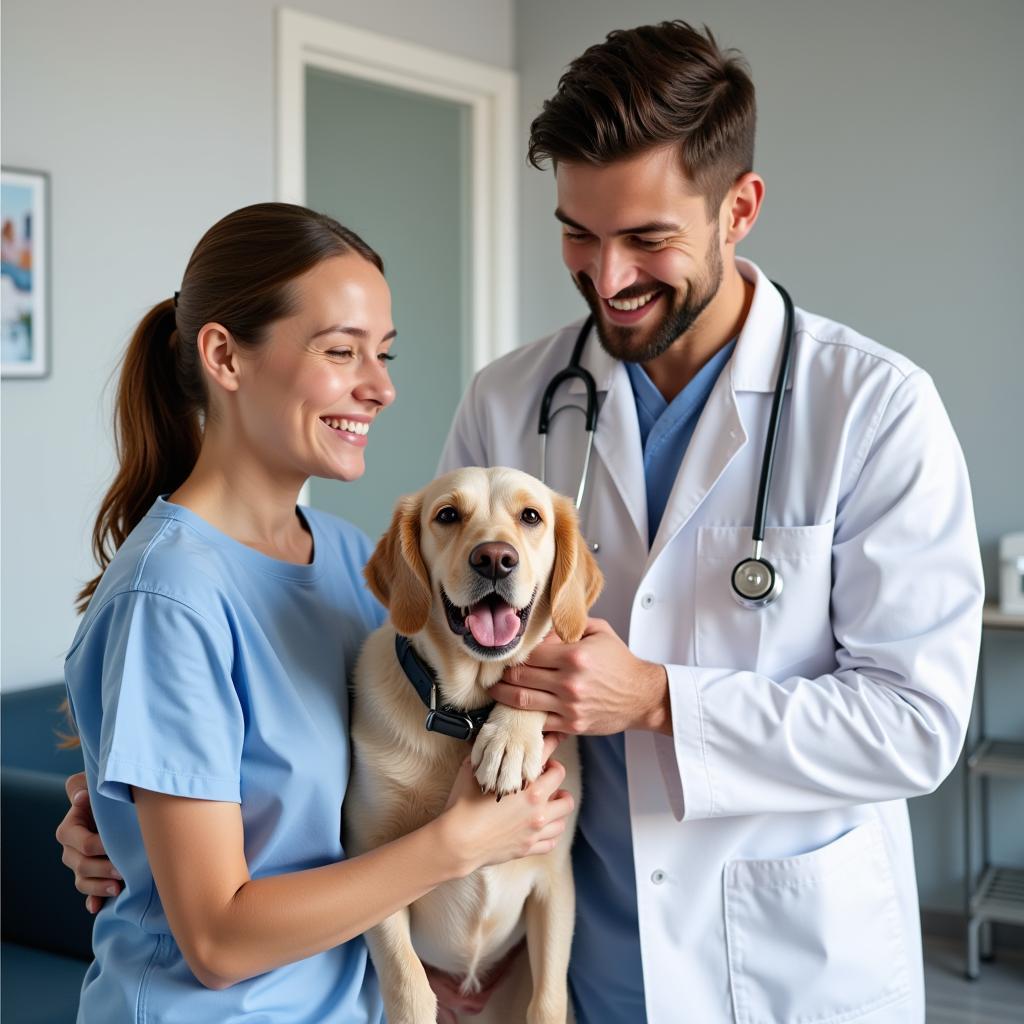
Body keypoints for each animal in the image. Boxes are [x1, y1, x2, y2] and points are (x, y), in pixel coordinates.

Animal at [346, 466, 598, 1024]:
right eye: (447, 515)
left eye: (531, 516)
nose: (495, 558)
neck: (463, 714)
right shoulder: (371, 856)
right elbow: (409, 987)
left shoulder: (556, 883)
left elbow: (548, 1001)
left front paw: (510, 741)